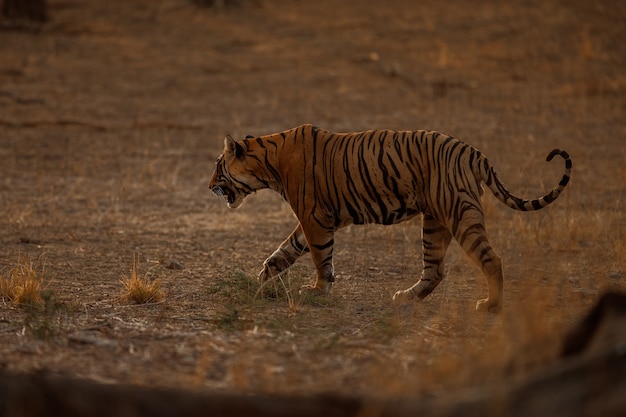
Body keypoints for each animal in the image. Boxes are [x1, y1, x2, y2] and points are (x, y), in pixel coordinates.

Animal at [208, 123, 572, 312]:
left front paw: (318, 289)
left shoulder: (315, 217)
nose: (209, 185)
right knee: (434, 270)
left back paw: (490, 304)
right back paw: (406, 297)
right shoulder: (312, 220)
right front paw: (262, 278)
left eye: (218, 166)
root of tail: (473, 152)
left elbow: (319, 256)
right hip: (434, 222)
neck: (269, 164)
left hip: (460, 214)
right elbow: (285, 251)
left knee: (491, 259)